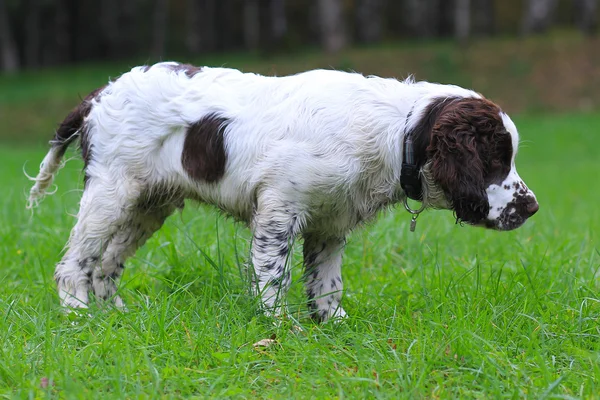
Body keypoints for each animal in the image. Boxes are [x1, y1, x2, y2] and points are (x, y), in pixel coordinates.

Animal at [27, 63, 540, 324]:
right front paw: (278, 329)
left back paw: (116, 314)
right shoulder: (279, 211)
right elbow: (274, 277)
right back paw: (78, 313)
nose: (532, 207)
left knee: (107, 264)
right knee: (75, 262)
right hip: (111, 191)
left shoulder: (329, 223)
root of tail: (100, 94)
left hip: (148, 205)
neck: (396, 133)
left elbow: (327, 283)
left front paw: (332, 325)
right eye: (497, 159)